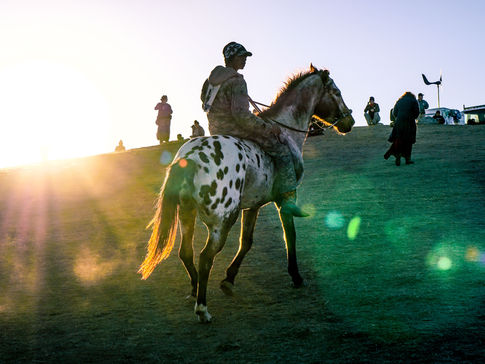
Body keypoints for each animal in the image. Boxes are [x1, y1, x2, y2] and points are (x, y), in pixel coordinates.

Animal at [138, 64, 354, 322]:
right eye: (336, 92)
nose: (349, 120)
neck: (286, 131)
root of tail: (190, 158)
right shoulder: (286, 199)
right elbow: (289, 236)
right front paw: (296, 275)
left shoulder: (253, 205)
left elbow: (247, 242)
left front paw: (229, 279)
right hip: (222, 221)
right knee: (205, 257)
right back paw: (202, 308)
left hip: (187, 214)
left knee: (185, 253)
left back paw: (194, 288)